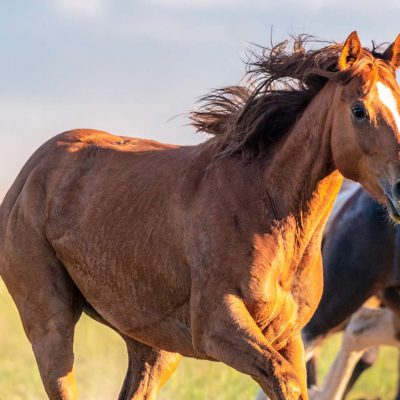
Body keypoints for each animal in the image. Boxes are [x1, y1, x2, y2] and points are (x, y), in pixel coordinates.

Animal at [0, 32, 400, 400]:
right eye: (359, 110)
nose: (399, 187)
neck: (267, 206)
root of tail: (30, 172)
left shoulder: (289, 335)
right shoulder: (216, 326)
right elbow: (283, 380)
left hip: (153, 344)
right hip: (49, 323)